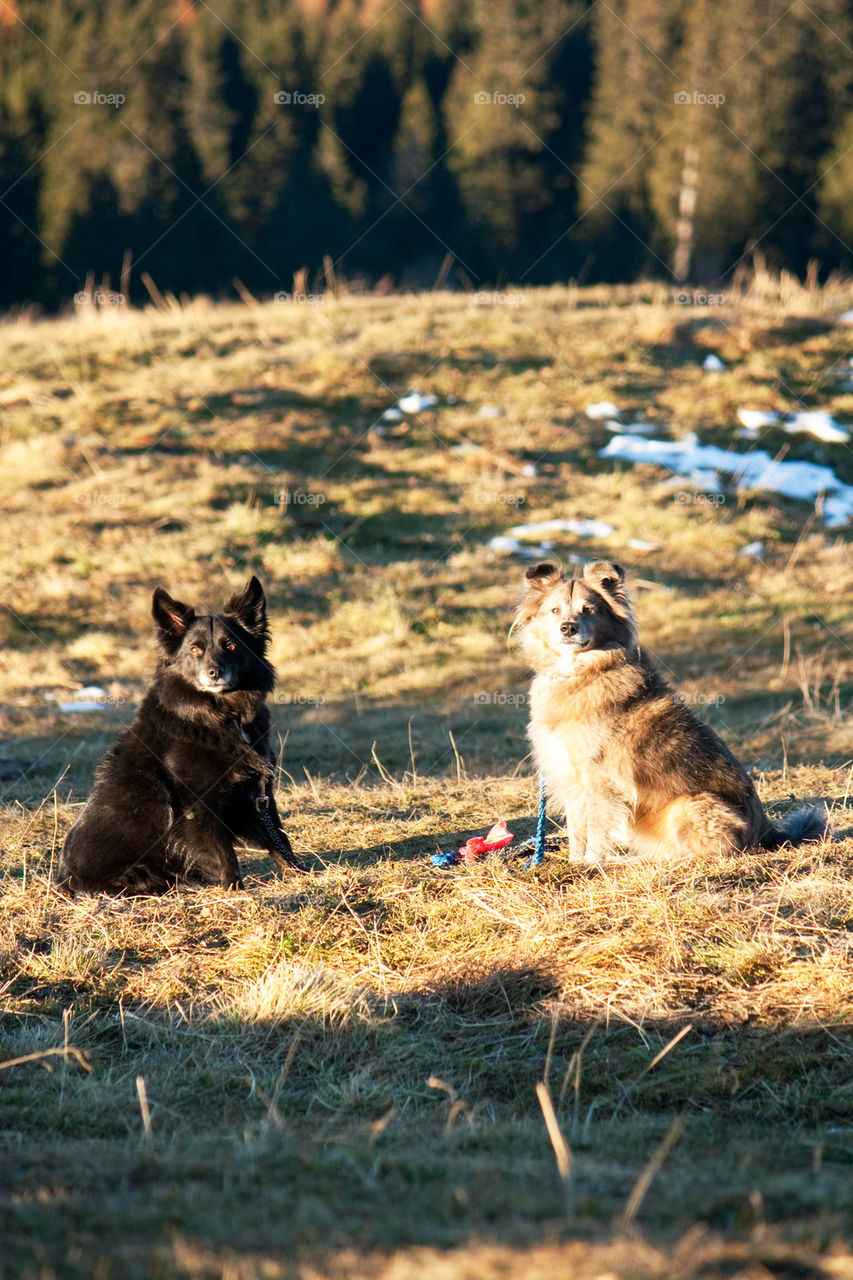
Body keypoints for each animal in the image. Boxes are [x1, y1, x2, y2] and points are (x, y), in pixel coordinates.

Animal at [57, 578, 302, 890]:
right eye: (195, 650)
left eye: (231, 646)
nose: (215, 672)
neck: (222, 716)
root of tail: (65, 880)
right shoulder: (196, 804)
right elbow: (225, 854)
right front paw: (235, 890)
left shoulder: (258, 794)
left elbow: (278, 838)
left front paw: (302, 875)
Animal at [512, 560, 824, 860]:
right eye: (554, 610)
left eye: (589, 610)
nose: (568, 628)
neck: (582, 670)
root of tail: (767, 832)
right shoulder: (569, 774)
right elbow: (578, 829)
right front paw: (575, 863)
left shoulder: (601, 778)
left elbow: (598, 829)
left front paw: (591, 863)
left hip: (689, 806)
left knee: (702, 853)